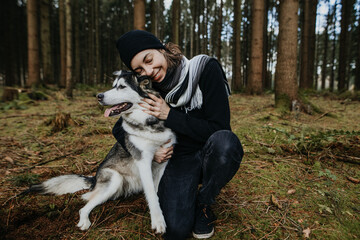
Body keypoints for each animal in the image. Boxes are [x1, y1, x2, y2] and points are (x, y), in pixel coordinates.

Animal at [27, 71, 176, 234]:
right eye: (113, 86)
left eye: (121, 86)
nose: (99, 96)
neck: (151, 123)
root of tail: (94, 178)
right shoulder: (143, 161)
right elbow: (151, 193)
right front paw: (158, 221)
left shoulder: (163, 162)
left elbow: (155, 191)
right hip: (114, 179)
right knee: (84, 207)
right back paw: (84, 221)